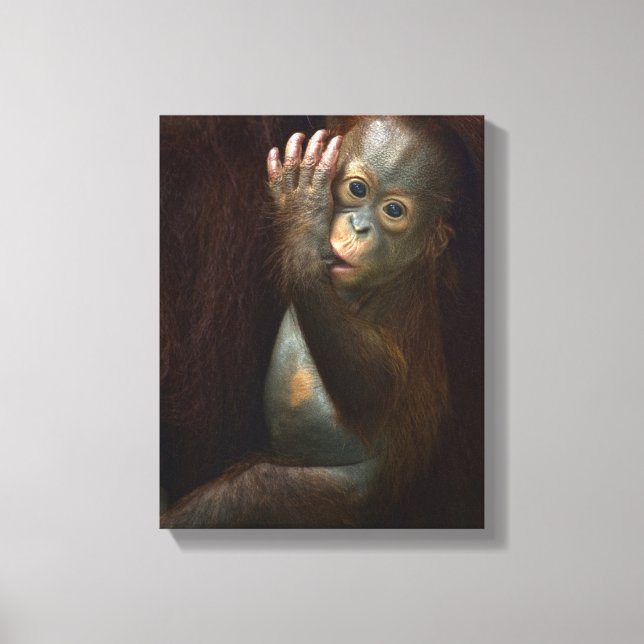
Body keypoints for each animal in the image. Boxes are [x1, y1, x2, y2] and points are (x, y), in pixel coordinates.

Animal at [160, 116, 481, 528]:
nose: (359, 226)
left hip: (339, 496)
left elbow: (373, 387)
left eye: (394, 211)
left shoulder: (400, 307)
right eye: (357, 188)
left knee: (254, 491)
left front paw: (302, 222)